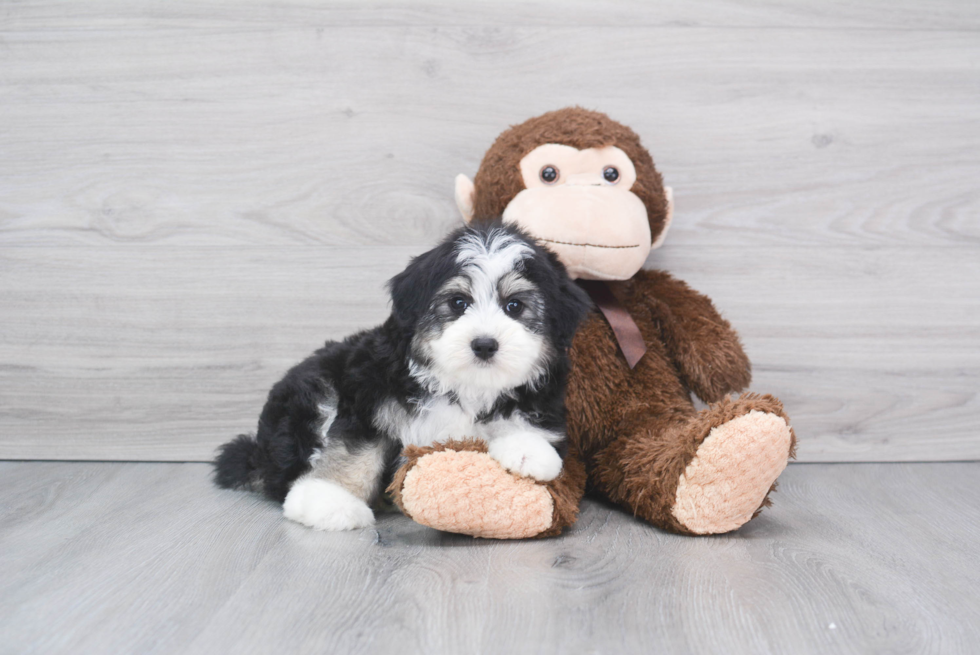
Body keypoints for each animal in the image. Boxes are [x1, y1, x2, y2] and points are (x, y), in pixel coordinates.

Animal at [214, 223, 588, 532]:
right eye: (458, 302)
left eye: (514, 306)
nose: (484, 344)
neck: (465, 385)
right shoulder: (368, 396)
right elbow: (356, 452)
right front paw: (330, 499)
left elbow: (521, 422)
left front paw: (529, 451)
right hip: (312, 393)